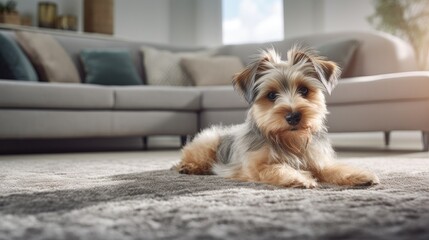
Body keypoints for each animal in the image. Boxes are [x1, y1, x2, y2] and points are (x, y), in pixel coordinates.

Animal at [173, 47, 378, 188]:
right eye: (271, 95)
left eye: (304, 90)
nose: (293, 116)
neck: (289, 140)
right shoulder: (255, 166)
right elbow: (276, 167)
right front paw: (298, 177)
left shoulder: (317, 161)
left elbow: (333, 168)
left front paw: (359, 175)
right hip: (208, 142)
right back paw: (189, 167)